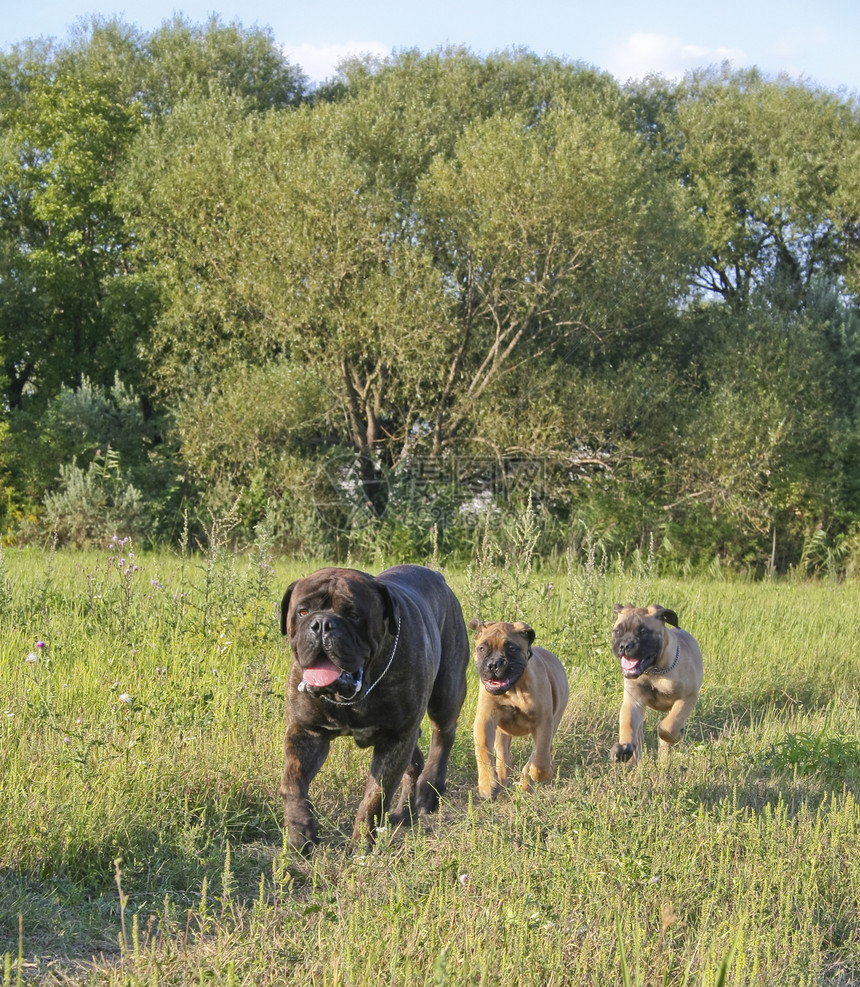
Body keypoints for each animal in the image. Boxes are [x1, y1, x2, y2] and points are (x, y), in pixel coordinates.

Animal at [280, 568, 470, 852]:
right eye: (303, 612)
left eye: (353, 615)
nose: (322, 623)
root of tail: (438, 576)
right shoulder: (306, 733)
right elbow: (292, 784)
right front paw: (299, 834)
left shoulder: (395, 739)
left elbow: (375, 796)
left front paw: (362, 844)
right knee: (415, 761)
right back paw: (403, 814)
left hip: (445, 694)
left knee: (443, 737)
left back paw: (429, 791)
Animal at [466, 620, 568, 800]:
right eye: (482, 648)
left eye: (512, 648)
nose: (494, 664)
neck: (514, 689)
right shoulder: (485, 719)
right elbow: (483, 749)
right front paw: (487, 784)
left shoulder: (543, 723)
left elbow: (539, 760)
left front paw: (538, 773)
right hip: (502, 733)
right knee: (503, 757)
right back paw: (501, 780)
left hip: (553, 722)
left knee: (540, 753)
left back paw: (527, 781)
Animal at [608, 604, 704, 764]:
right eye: (618, 631)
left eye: (644, 632)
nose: (624, 646)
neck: (654, 672)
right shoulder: (633, 702)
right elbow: (627, 724)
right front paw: (623, 749)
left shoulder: (687, 698)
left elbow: (667, 728)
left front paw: (677, 734)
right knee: (638, 736)